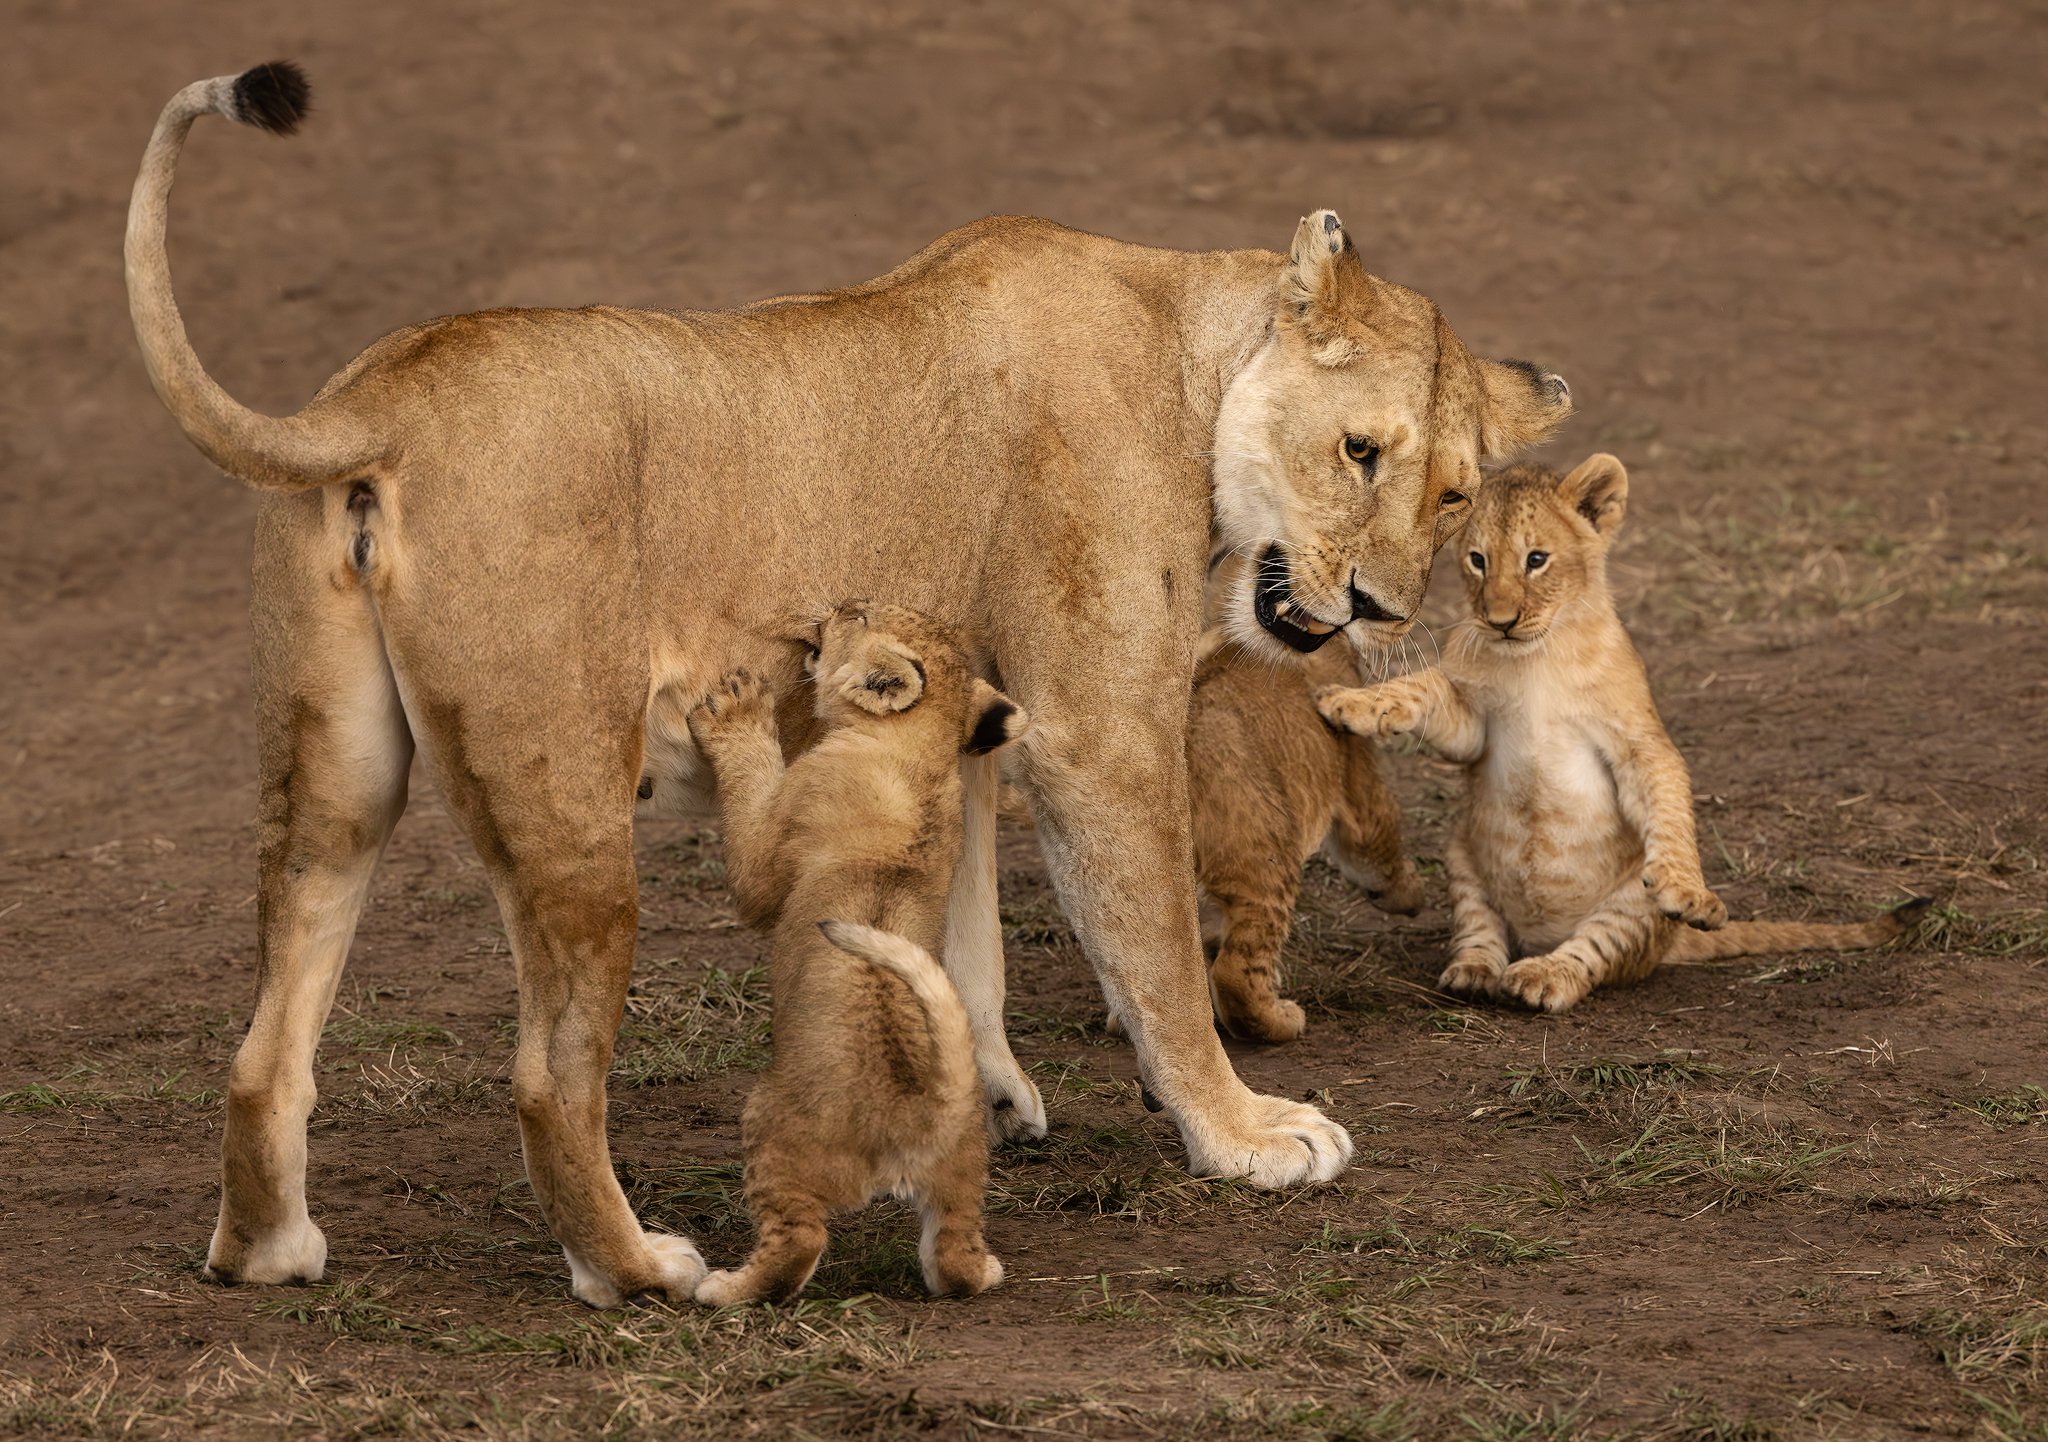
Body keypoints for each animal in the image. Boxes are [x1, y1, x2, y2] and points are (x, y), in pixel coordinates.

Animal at [673, 604, 1022, 1305]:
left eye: (858, 614)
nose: (833, 605)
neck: (919, 749)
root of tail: (924, 1110)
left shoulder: (775, 846)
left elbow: (754, 825)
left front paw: (736, 705)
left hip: (773, 1125)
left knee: (797, 1244)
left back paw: (724, 1289)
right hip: (963, 1168)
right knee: (956, 1257)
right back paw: (985, 1270)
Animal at [1315, 455, 1929, 1013]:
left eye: (1536, 560)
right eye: (1477, 561)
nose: (1500, 620)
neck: (1538, 655)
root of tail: (1537, 939)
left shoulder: (1637, 737)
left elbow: (1667, 797)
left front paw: (1691, 890)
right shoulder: (1473, 722)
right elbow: (1419, 691)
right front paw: (1351, 702)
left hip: (1633, 904)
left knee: (1591, 955)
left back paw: (1542, 977)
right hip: (1462, 860)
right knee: (1481, 931)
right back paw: (1474, 972)